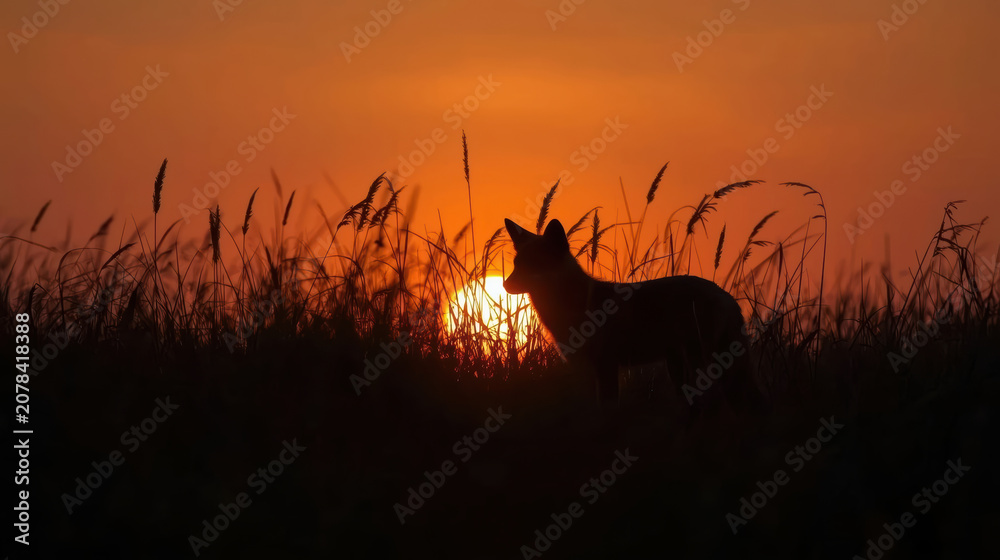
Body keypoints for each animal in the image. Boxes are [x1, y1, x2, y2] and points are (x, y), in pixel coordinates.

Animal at [503, 218, 761, 416]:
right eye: (516, 264)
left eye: (533, 264)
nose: (505, 285)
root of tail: (727, 296)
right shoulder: (584, 370)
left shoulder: (606, 365)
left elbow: (606, 410)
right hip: (681, 368)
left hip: (700, 364)